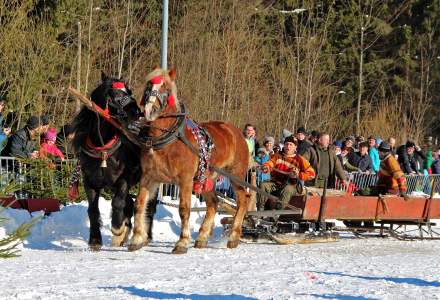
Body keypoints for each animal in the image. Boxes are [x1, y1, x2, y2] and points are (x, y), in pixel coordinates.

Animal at [73, 73, 157, 251]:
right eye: (114, 95)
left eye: (129, 91)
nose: (137, 112)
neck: (102, 146)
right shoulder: (90, 182)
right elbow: (93, 210)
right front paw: (95, 240)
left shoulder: (124, 179)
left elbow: (118, 203)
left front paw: (117, 228)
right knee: (130, 203)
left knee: (148, 207)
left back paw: (144, 237)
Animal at [129, 68, 249, 253]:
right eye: (149, 85)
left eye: (166, 88)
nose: (149, 110)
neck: (170, 140)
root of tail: (236, 133)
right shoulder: (149, 177)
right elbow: (139, 204)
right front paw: (136, 239)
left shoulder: (185, 180)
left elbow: (184, 209)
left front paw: (182, 242)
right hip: (206, 177)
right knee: (213, 203)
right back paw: (202, 237)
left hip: (236, 175)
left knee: (243, 200)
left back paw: (234, 236)